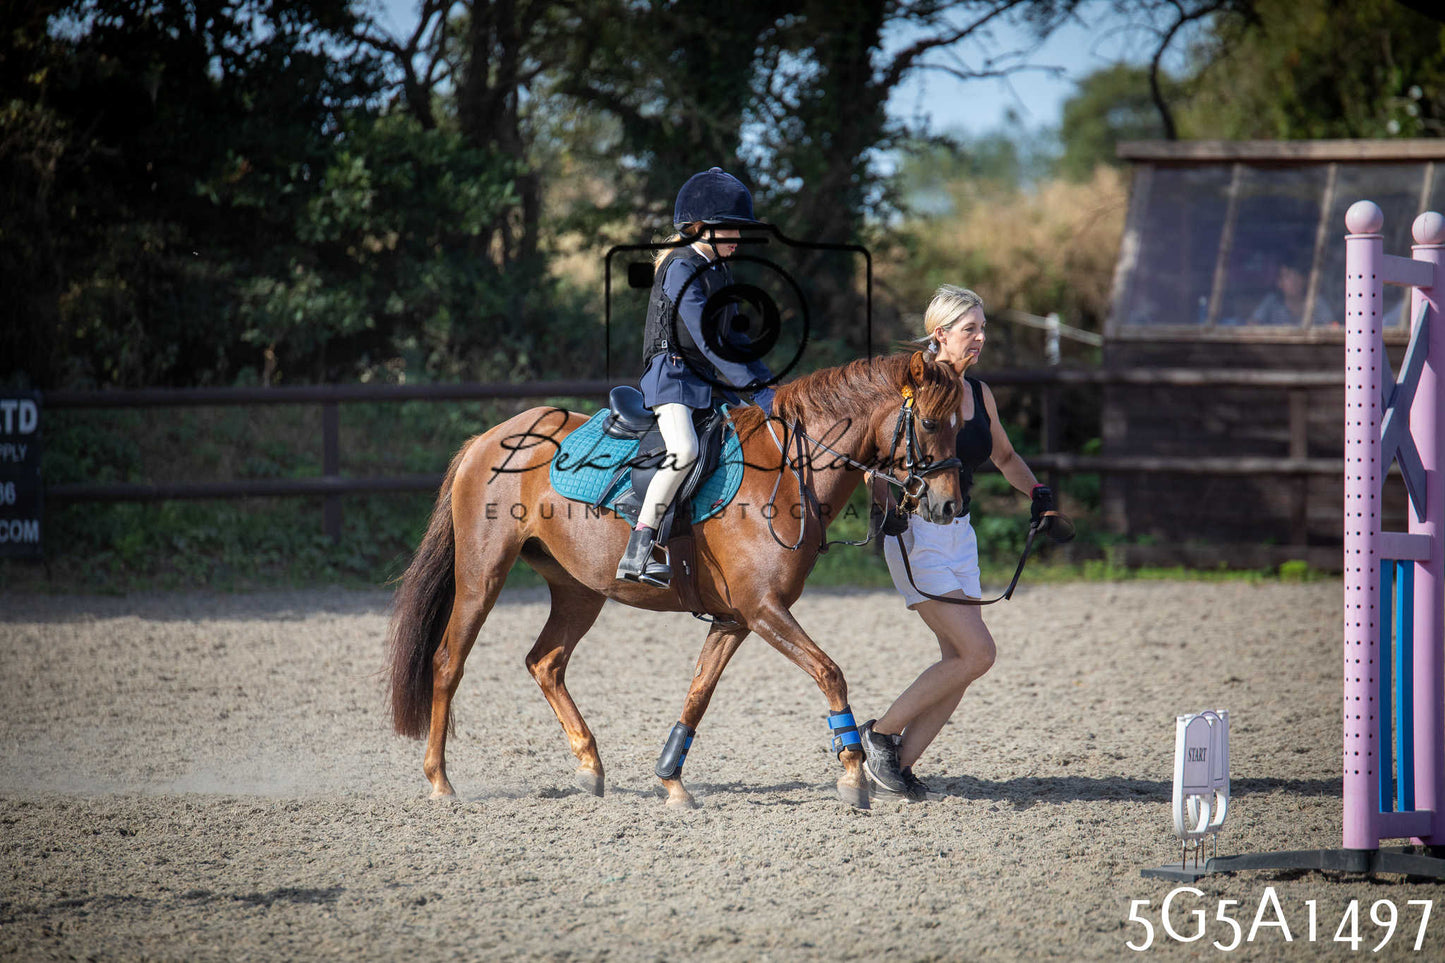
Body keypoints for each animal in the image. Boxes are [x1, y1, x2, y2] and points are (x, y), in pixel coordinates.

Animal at [386, 350, 967, 809]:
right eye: (931, 424)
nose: (949, 506)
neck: (786, 472)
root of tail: (490, 436)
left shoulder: (737, 618)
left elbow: (699, 691)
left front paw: (671, 780)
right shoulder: (764, 609)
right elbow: (830, 673)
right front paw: (852, 774)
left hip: (580, 590)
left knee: (545, 663)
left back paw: (590, 767)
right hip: (482, 575)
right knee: (448, 662)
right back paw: (440, 781)